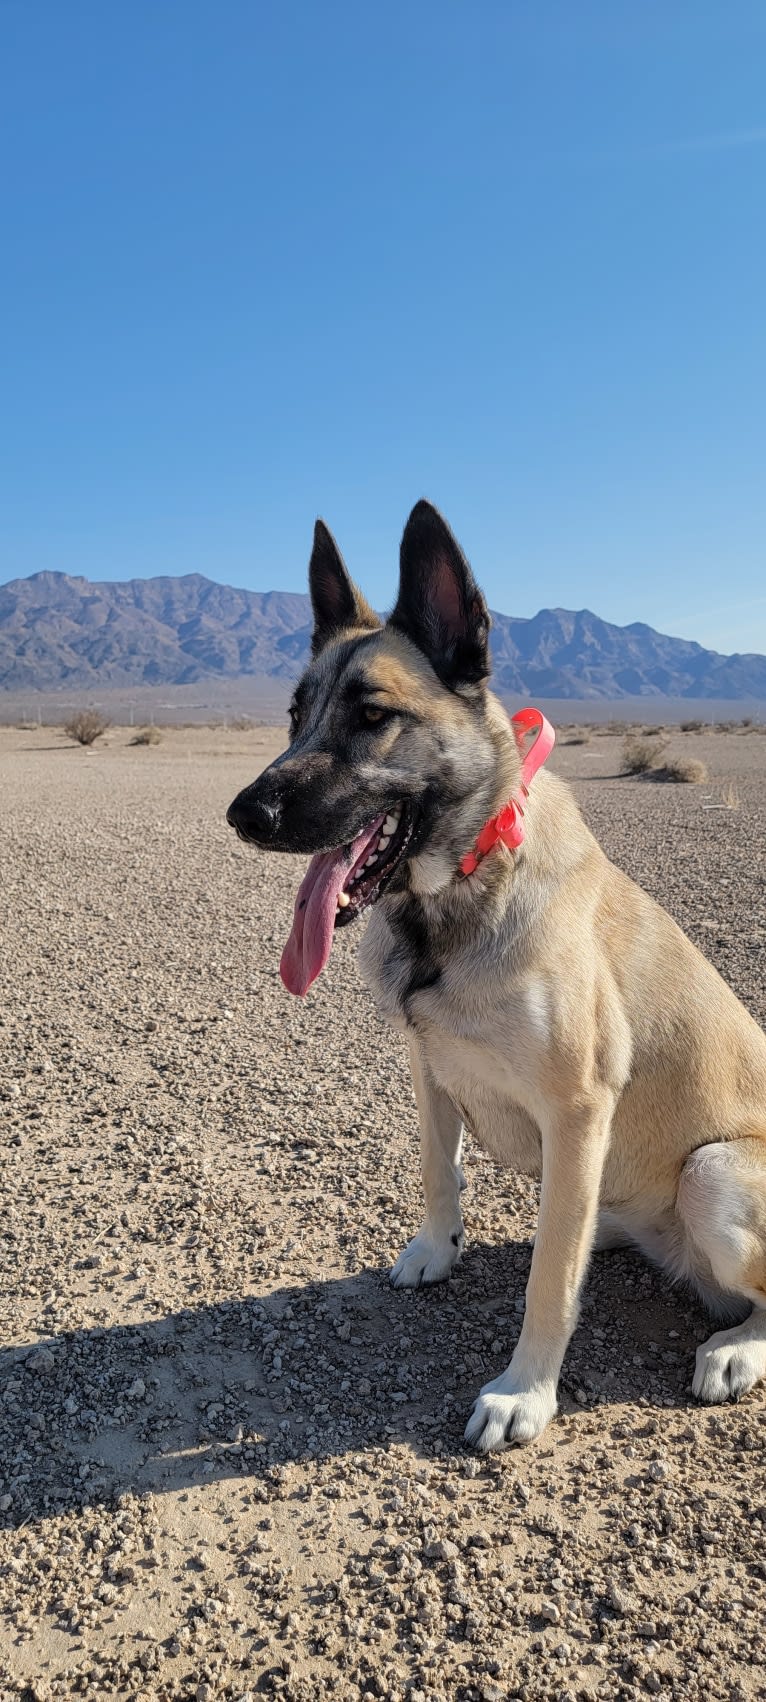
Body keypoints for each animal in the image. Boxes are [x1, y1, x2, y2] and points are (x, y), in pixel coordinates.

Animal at [226, 496, 766, 1450]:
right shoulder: (428, 1066)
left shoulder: (578, 1107)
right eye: (295, 713)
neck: (464, 887)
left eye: (372, 715)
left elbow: (548, 1283)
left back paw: (734, 1346)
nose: (245, 814)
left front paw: (526, 1393)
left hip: (714, 1171)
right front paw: (436, 1250)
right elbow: (440, 1170)